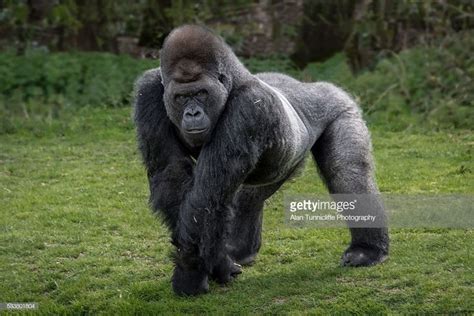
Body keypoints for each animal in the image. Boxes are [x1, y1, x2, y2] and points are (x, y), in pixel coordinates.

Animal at [133, 25, 388, 296]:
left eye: (201, 93)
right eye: (181, 97)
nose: (192, 113)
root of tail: (316, 85)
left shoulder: (249, 108)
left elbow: (206, 198)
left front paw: (190, 275)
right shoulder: (148, 92)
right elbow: (171, 173)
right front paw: (217, 264)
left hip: (342, 106)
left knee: (347, 173)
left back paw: (367, 249)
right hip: (288, 158)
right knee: (250, 194)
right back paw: (239, 249)